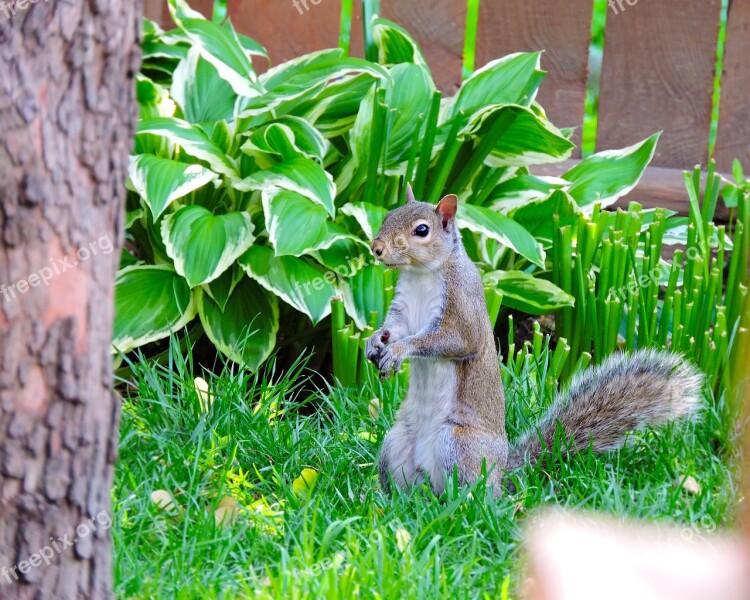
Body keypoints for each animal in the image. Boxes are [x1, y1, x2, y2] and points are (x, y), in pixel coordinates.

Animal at [368, 185, 708, 494]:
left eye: (422, 230)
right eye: (388, 215)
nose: (376, 247)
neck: (422, 274)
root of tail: (502, 477)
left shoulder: (462, 308)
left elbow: (453, 340)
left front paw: (400, 350)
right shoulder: (403, 309)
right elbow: (395, 328)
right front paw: (375, 341)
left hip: (458, 444)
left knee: (473, 495)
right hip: (395, 444)